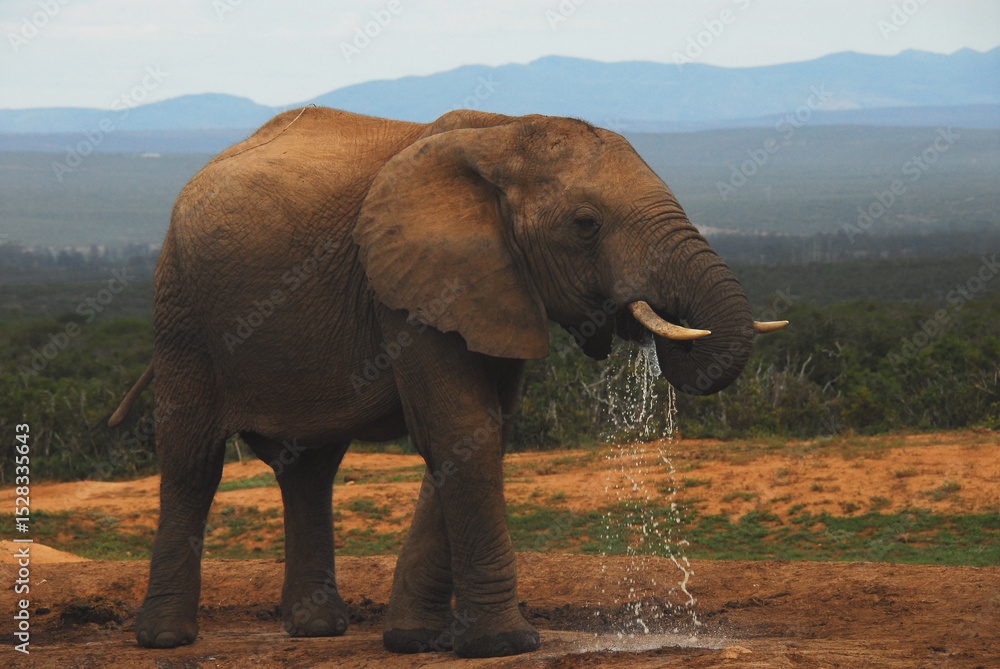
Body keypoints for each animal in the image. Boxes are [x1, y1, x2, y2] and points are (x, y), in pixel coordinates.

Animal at [108, 106, 785, 658]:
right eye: (586, 223)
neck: (503, 132)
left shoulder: (496, 286)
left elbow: (480, 433)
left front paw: (415, 640)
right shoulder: (411, 285)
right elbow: (464, 428)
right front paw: (505, 645)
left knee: (309, 469)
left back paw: (318, 631)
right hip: (181, 307)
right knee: (193, 460)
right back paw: (166, 639)